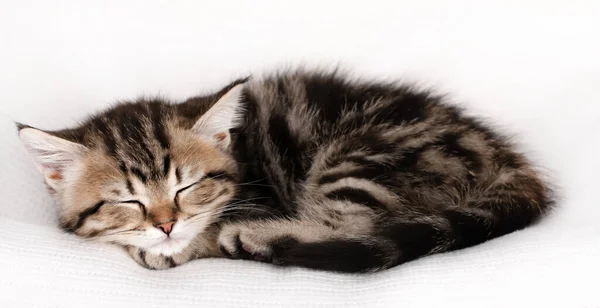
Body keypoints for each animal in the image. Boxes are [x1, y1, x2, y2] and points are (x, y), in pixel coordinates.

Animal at [17, 69, 552, 272]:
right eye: (129, 200)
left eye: (188, 187)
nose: (166, 224)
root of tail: (502, 157)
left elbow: (204, 233)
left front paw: (179, 246)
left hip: (362, 155)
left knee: (354, 224)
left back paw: (256, 237)